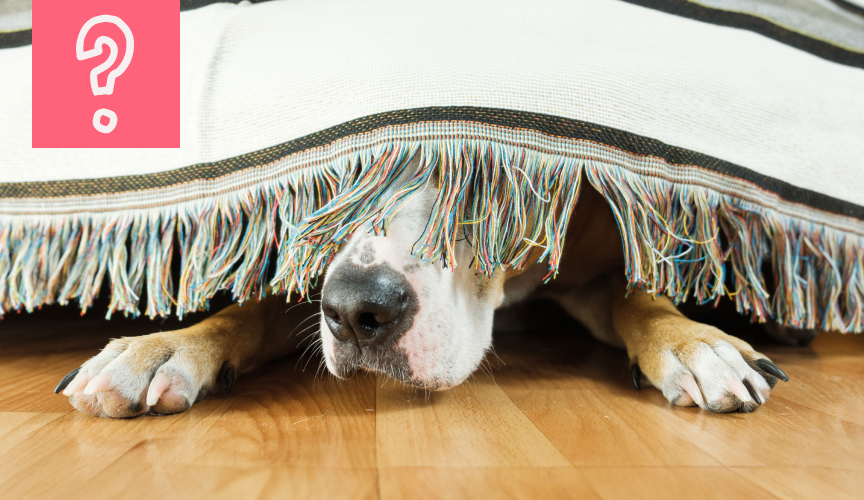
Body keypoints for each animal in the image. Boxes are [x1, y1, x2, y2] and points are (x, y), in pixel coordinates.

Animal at [52, 156, 788, 418]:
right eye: (337, 177)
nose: (357, 311)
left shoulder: (597, 259)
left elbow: (643, 296)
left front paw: (696, 345)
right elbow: (250, 310)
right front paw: (163, 347)